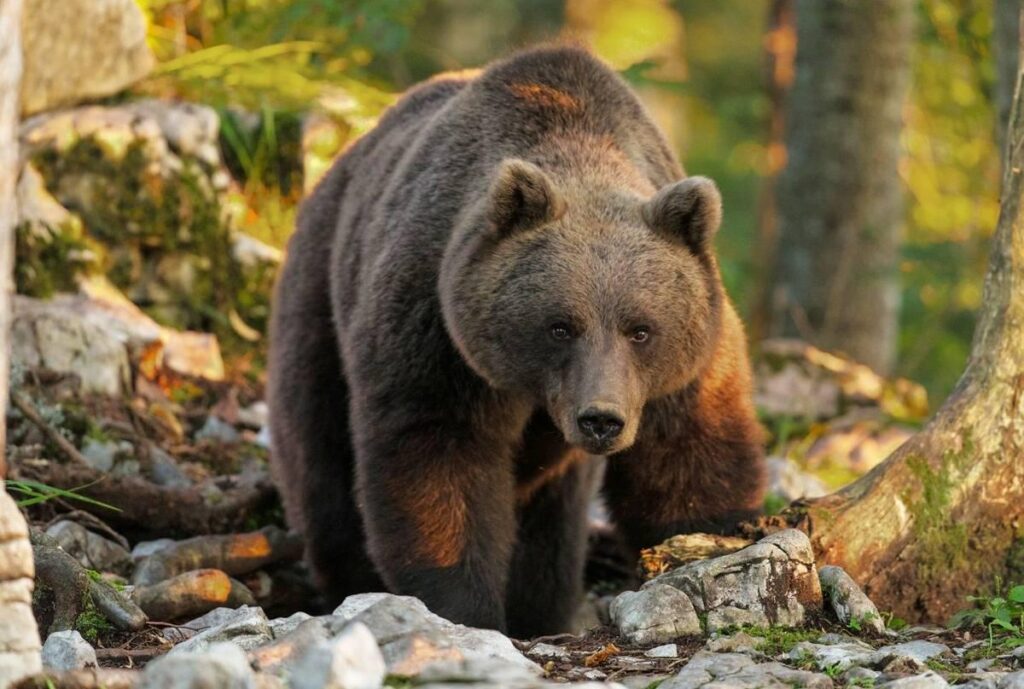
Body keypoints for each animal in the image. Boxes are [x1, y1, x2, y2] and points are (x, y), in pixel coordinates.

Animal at [268, 44, 766, 639]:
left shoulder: (684, 368)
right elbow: (439, 456)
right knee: (321, 456)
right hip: (320, 291)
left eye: (641, 329)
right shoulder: (439, 332)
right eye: (560, 325)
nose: (602, 419)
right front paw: (463, 609)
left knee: (549, 527)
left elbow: (688, 458)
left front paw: (709, 544)